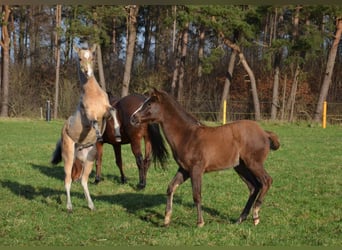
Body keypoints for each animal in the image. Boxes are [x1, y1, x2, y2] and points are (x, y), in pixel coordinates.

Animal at [130, 89, 280, 228]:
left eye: (149, 103)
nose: (133, 118)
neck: (187, 135)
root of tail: (265, 133)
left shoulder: (196, 169)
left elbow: (197, 195)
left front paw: (200, 223)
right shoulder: (184, 169)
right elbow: (171, 187)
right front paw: (166, 220)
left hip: (253, 163)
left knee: (266, 181)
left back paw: (256, 215)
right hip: (240, 167)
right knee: (253, 187)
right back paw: (240, 219)